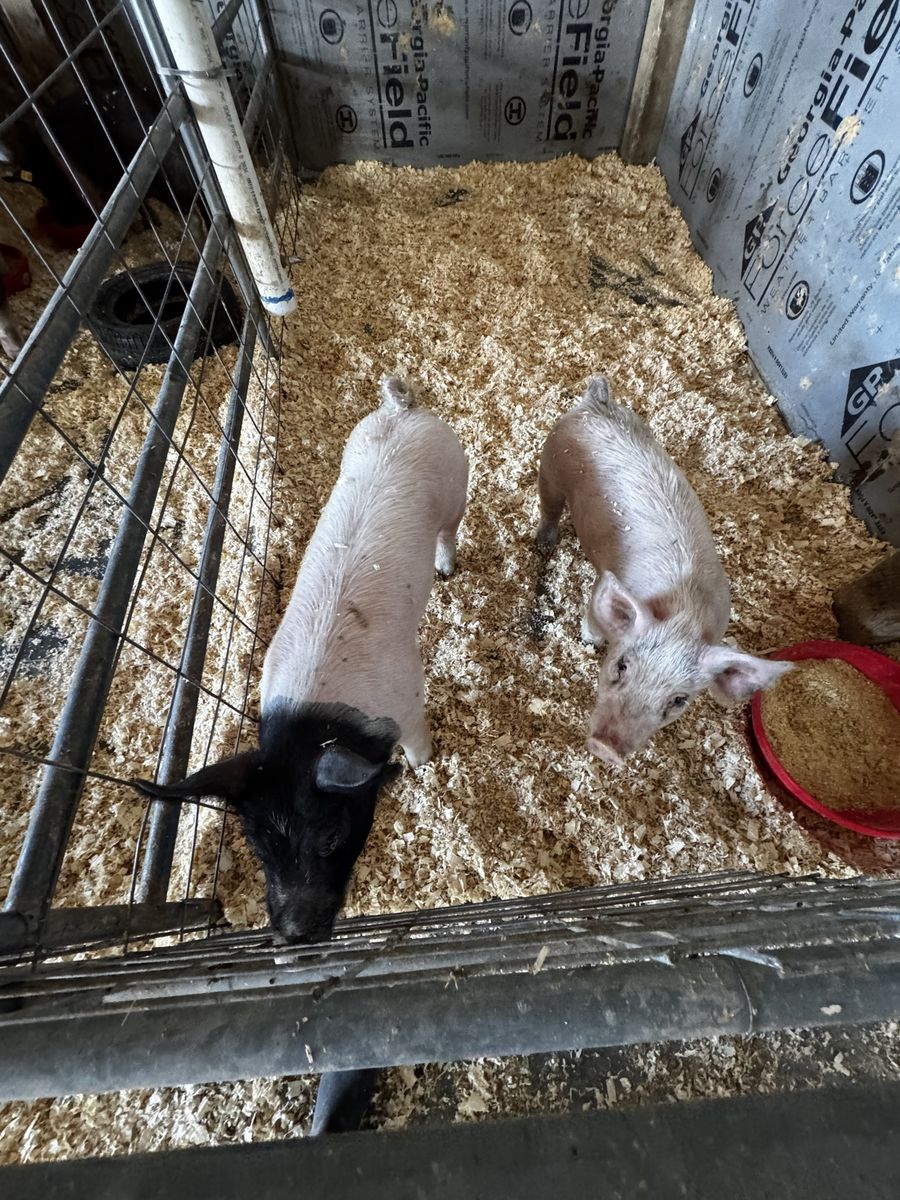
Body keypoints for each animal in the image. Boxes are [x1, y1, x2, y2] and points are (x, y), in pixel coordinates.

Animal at [133, 375, 469, 941]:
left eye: (330, 837)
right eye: (259, 846)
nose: (292, 932)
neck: (317, 720)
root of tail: (402, 410)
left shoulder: (408, 695)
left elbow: (419, 745)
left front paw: (425, 770)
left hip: (456, 477)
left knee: (450, 530)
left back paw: (446, 569)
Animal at [537, 375, 792, 765]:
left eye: (678, 700)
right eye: (622, 665)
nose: (604, 748)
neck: (684, 613)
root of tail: (597, 401)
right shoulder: (598, 592)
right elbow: (592, 621)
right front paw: (590, 641)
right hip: (550, 463)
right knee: (549, 507)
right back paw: (543, 543)